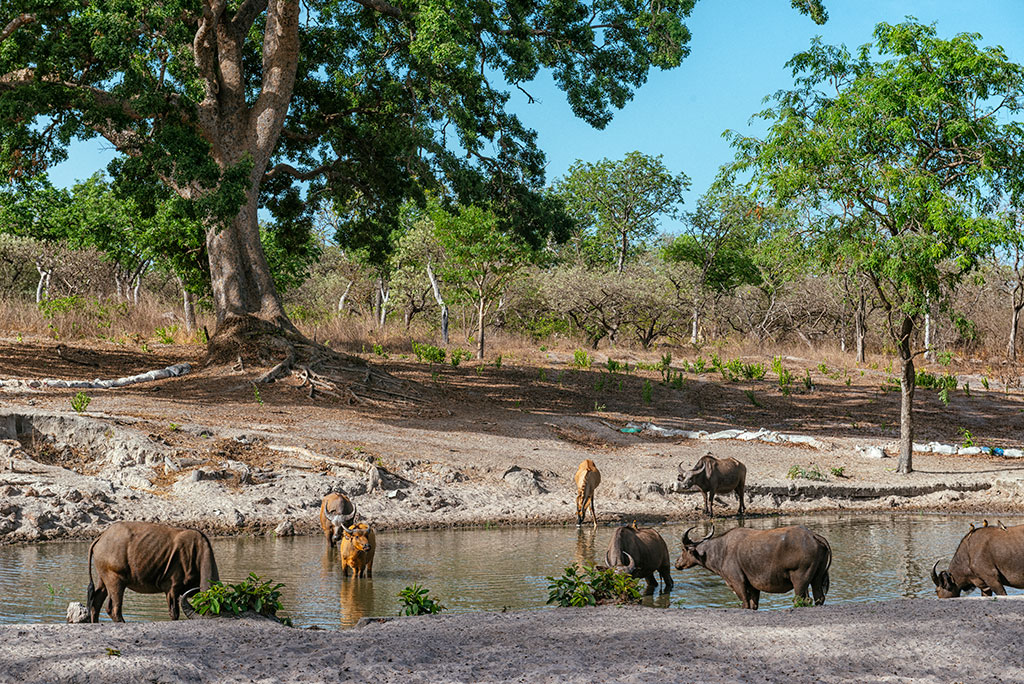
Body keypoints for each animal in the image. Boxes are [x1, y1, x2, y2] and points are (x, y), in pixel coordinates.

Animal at [85, 520, 218, 622]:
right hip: (115, 580)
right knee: (113, 609)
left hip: (103, 579)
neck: (197, 553)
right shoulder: (171, 589)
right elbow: (174, 613)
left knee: (96, 603)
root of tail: (101, 537)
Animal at [671, 524, 831, 610]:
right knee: (818, 598)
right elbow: (753, 605)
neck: (721, 550)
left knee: (801, 600)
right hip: (816, 578)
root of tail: (814, 536)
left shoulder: (738, 582)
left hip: (800, 580)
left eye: (684, 549)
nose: (677, 563)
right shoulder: (754, 586)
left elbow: (745, 604)